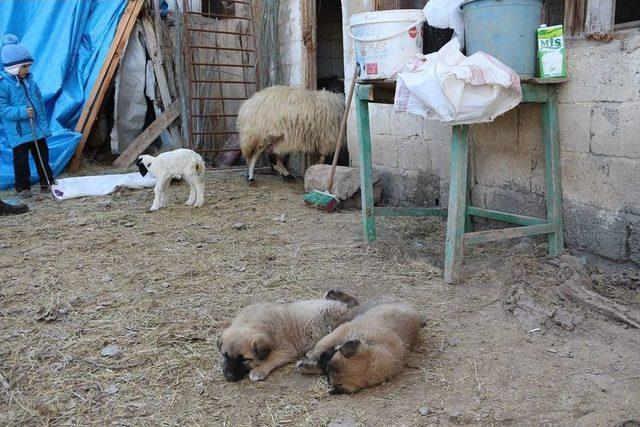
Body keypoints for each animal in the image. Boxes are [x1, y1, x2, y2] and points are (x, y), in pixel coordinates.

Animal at [219, 290, 360, 382]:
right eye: (225, 355)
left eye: (244, 359)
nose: (229, 376)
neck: (253, 322)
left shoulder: (286, 350)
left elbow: (270, 359)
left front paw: (259, 370)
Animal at [296, 298, 424, 394]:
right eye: (335, 353)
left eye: (328, 378)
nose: (323, 356)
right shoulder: (343, 331)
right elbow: (322, 344)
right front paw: (312, 355)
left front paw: (308, 365)